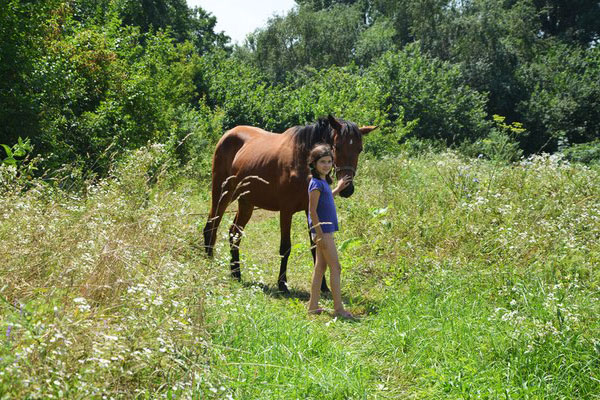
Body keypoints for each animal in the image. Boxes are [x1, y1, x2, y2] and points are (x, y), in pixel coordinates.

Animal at [204, 114, 378, 292]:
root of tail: (228, 134)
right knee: (212, 224)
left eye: (359, 149)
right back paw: (209, 260)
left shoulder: (311, 210)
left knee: (234, 233)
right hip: (223, 193)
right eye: (336, 147)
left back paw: (236, 273)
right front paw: (282, 283)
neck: (302, 162)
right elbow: (285, 247)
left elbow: (315, 246)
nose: (347, 189)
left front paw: (322, 285)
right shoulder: (286, 211)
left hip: (246, 202)